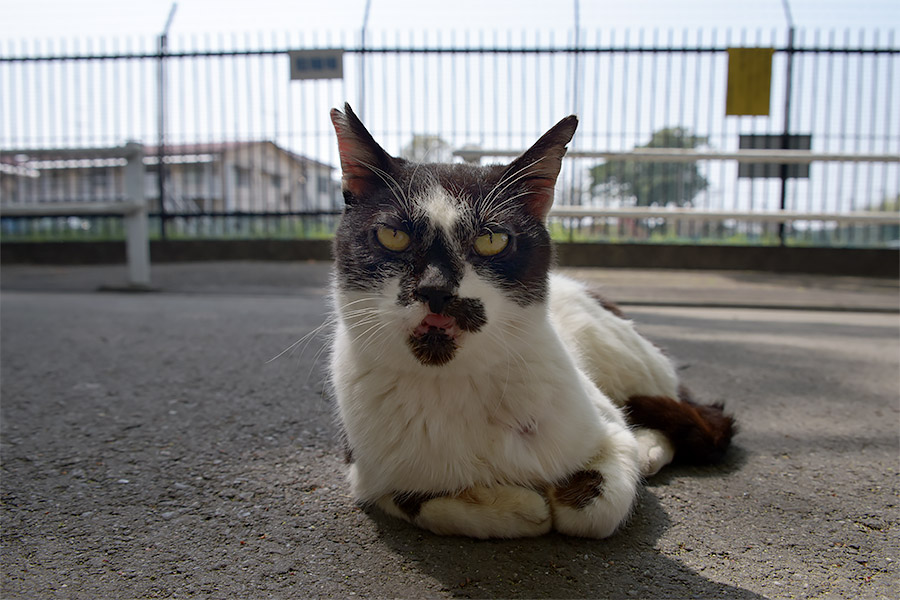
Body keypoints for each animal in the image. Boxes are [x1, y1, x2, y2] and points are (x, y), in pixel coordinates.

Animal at [326, 104, 736, 540]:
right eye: (393, 236)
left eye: (491, 240)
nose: (436, 289)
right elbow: (421, 500)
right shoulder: (364, 471)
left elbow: (594, 509)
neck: (454, 384)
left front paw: (560, 495)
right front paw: (515, 505)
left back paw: (648, 447)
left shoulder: (604, 432)